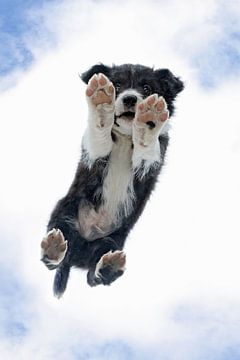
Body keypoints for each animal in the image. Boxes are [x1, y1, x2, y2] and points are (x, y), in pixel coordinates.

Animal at [40, 63, 184, 296]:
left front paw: (150, 118)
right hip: (63, 214)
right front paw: (100, 102)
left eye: (146, 87)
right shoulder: (95, 154)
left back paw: (109, 265)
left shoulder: (149, 164)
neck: (126, 136)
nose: (130, 99)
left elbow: (147, 147)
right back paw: (53, 249)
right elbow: (99, 132)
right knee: (53, 258)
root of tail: (76, 255)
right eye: (116, 85)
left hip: (112, 242)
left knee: (94, 277)